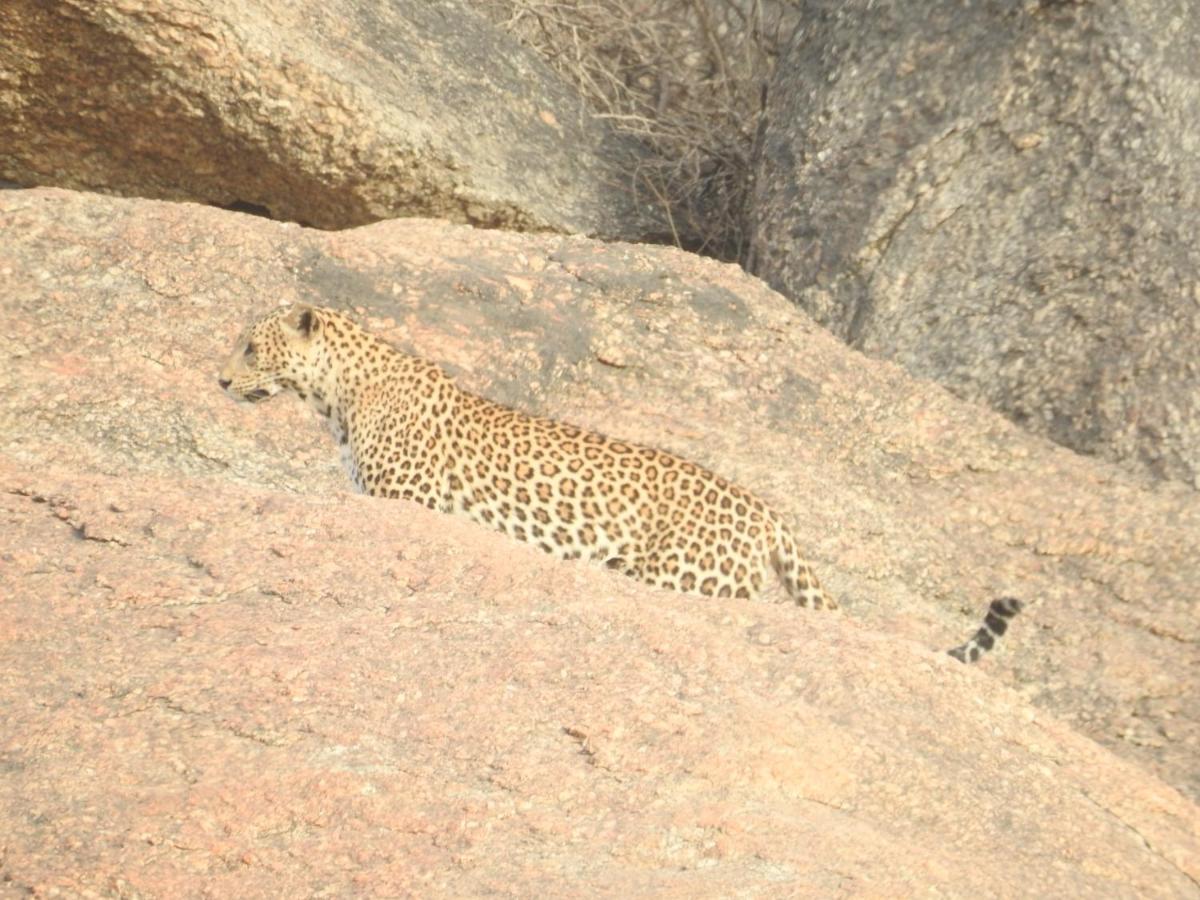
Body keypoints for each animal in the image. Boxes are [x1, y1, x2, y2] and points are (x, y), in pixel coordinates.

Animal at [218, 303, 1022, 662]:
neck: (337, 395)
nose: (220, 379)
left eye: (252, 347)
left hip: (674, 574)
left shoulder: (407, 500)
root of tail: (768, 513)